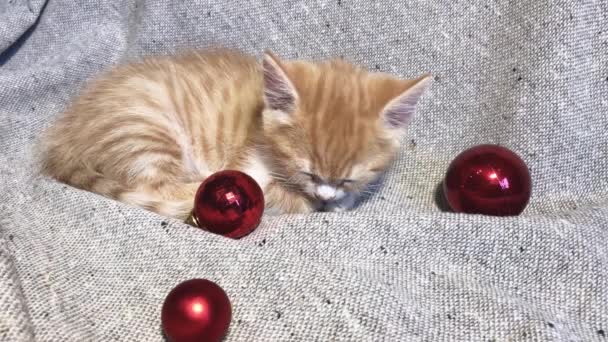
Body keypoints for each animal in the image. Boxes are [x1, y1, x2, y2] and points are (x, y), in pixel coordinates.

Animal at [40, 47, 430, 219]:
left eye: (348, 178)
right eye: (306, 172)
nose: (325, 195)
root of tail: (63, 143)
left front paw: (341, 200)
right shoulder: (250, 164)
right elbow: (274, 192)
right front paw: (306, 201)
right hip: (143, 129)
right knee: (156, 186)